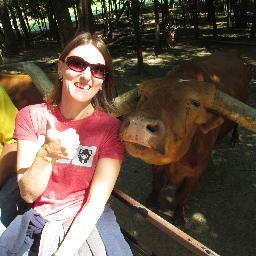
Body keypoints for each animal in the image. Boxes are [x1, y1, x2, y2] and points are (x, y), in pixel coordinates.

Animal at [117, 50, 252, 222]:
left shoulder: (197, 171)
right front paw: (152, 201)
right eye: (141, 95)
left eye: (195, 103)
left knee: (236, 124)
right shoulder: (157, 165)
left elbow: (182, 194)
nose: (138, 124)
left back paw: (235, 138)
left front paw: (178, 217)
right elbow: (157, 183)